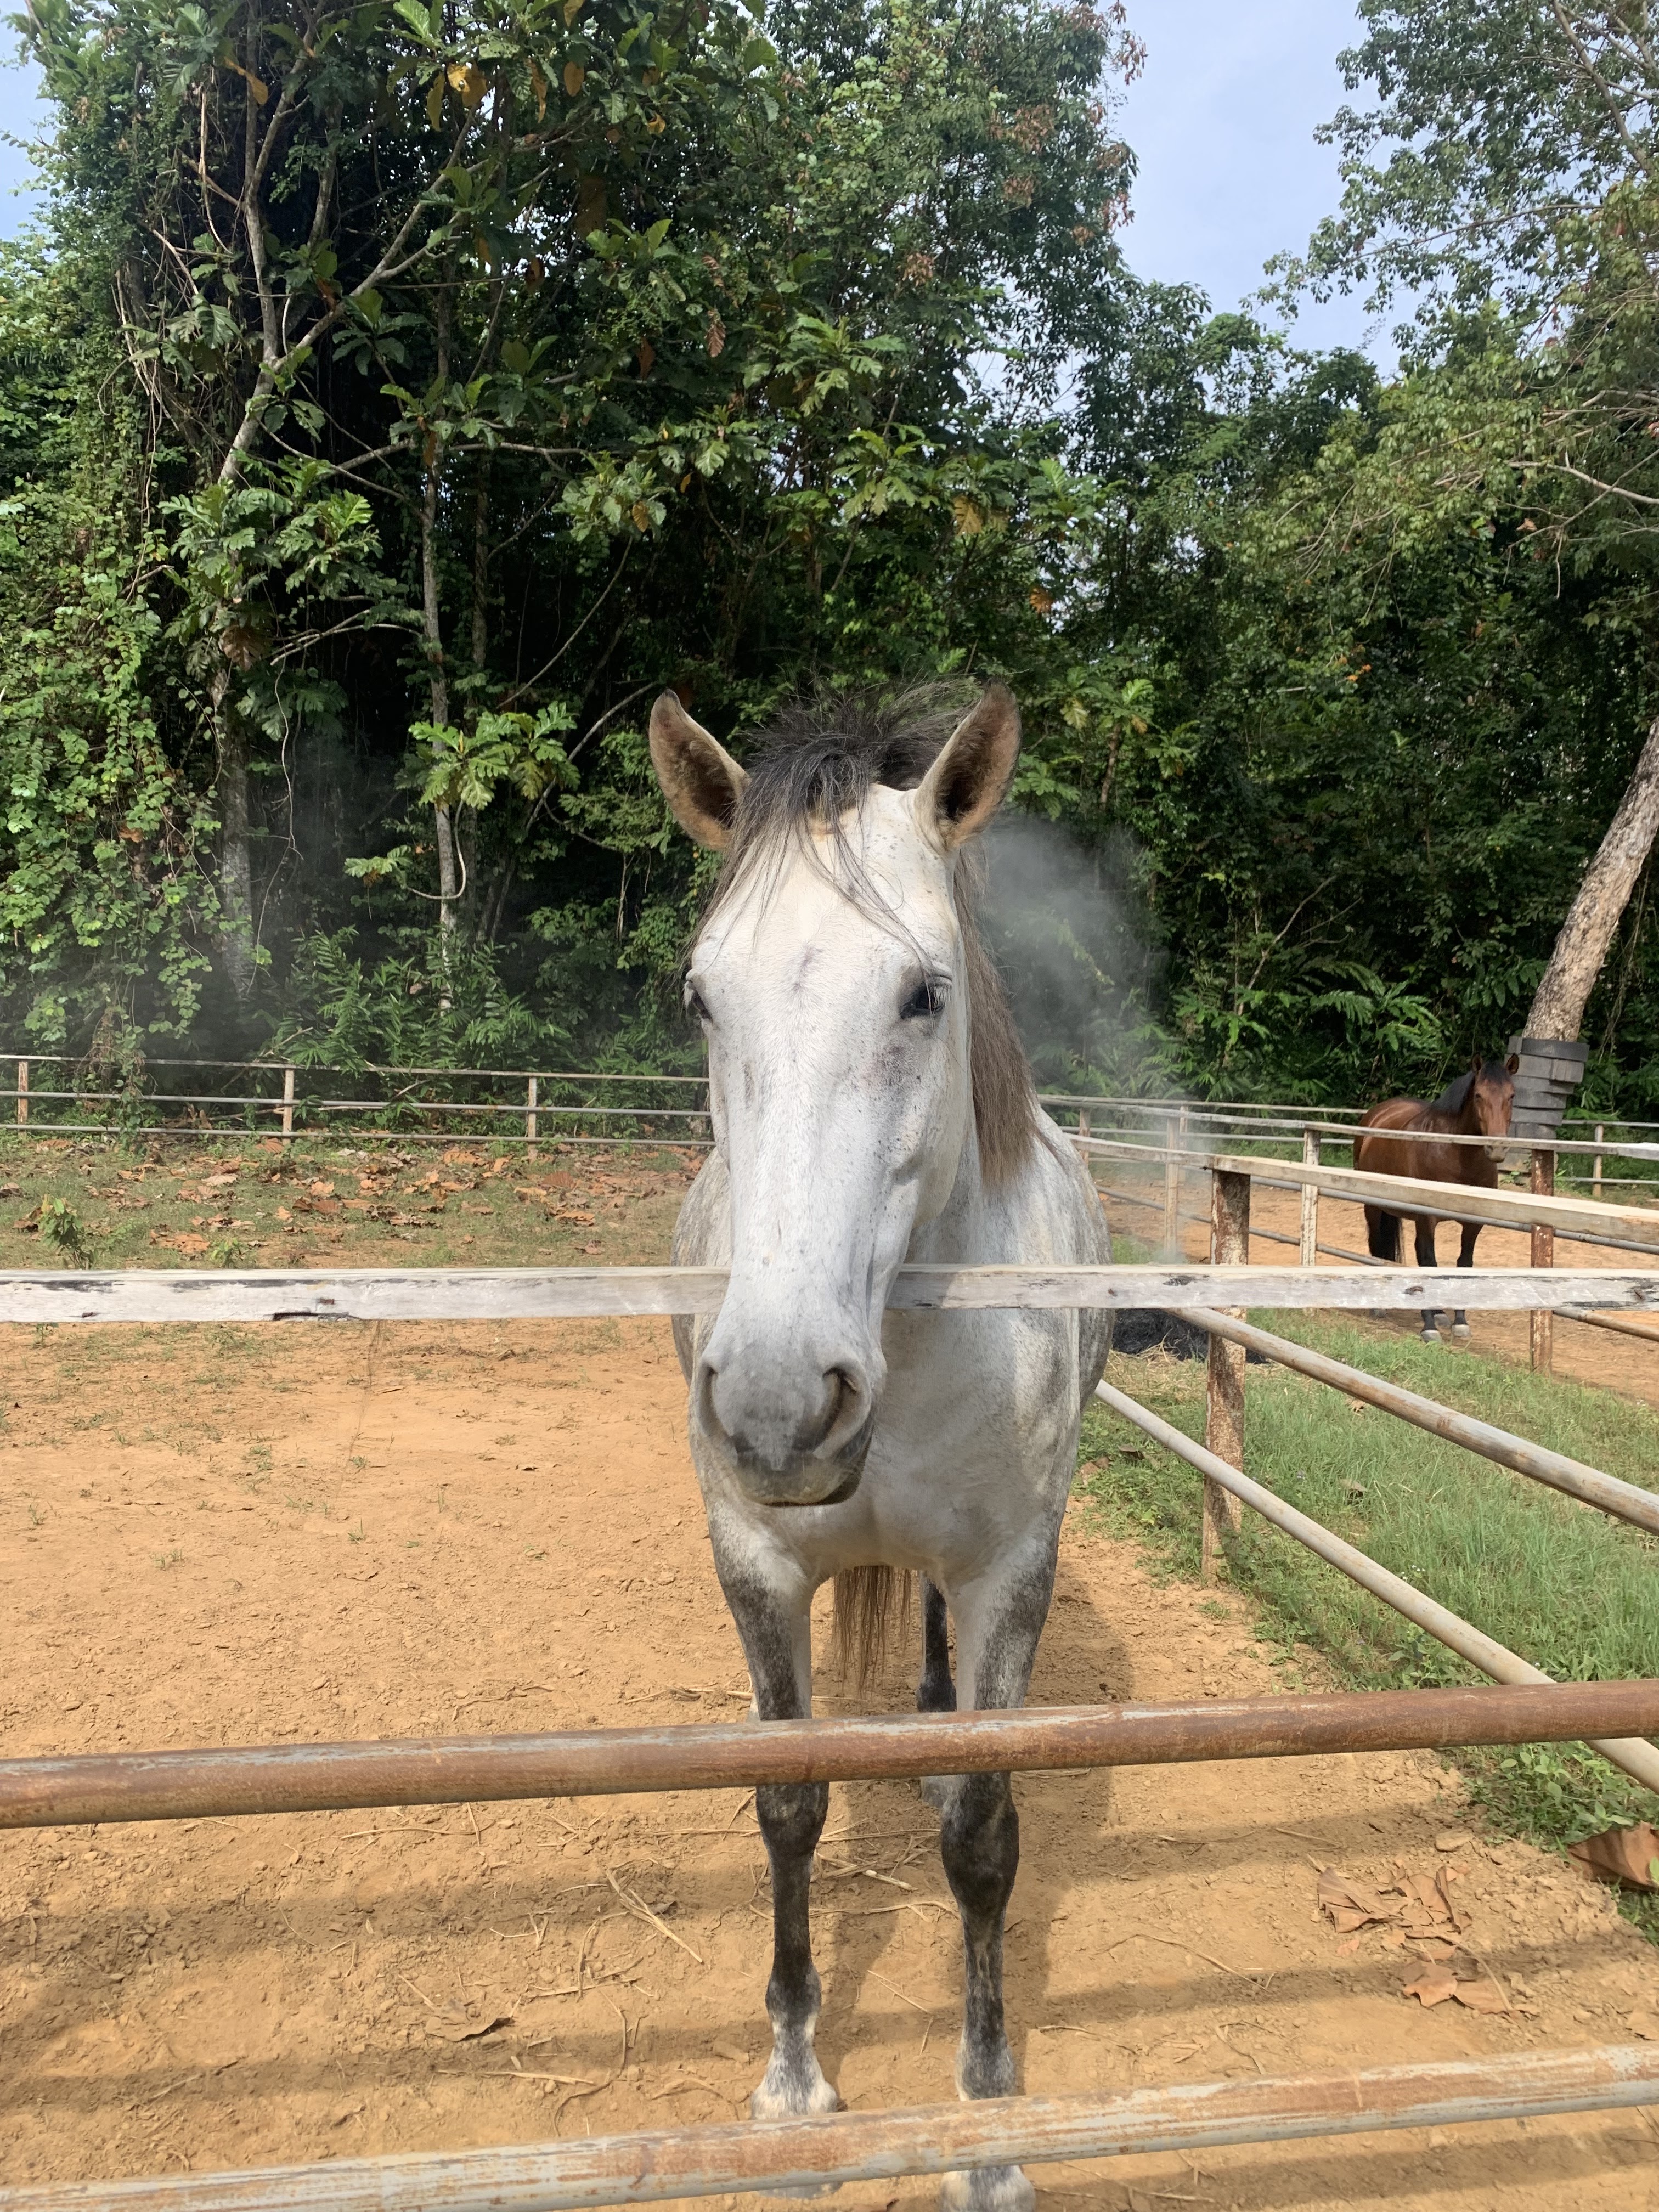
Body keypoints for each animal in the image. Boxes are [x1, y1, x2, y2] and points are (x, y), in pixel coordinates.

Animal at [648, 683, 1112, 2212]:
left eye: (925, 992)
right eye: (702, 995)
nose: (779, 1406)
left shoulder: (1011, 1575)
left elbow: (986, 1841)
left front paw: (989, 2124)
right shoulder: (755, 1563)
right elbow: (789, 1807)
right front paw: (795, 2084)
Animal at [1355, 1055, 1519, 1343]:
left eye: (1511, 1096)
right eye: (1478, 1095)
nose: (1497, 1148)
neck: (1456, 1155)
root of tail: (1377, 1113)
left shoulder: (1473, 1224)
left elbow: (1463, 1265)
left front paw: (1460, 1322)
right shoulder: (1427, 1218)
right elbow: (1429, 1262)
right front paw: (1428, 1327)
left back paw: (1440, 1311)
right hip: (1374, 1208)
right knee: (1377, 1249)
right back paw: (1380, 1307)